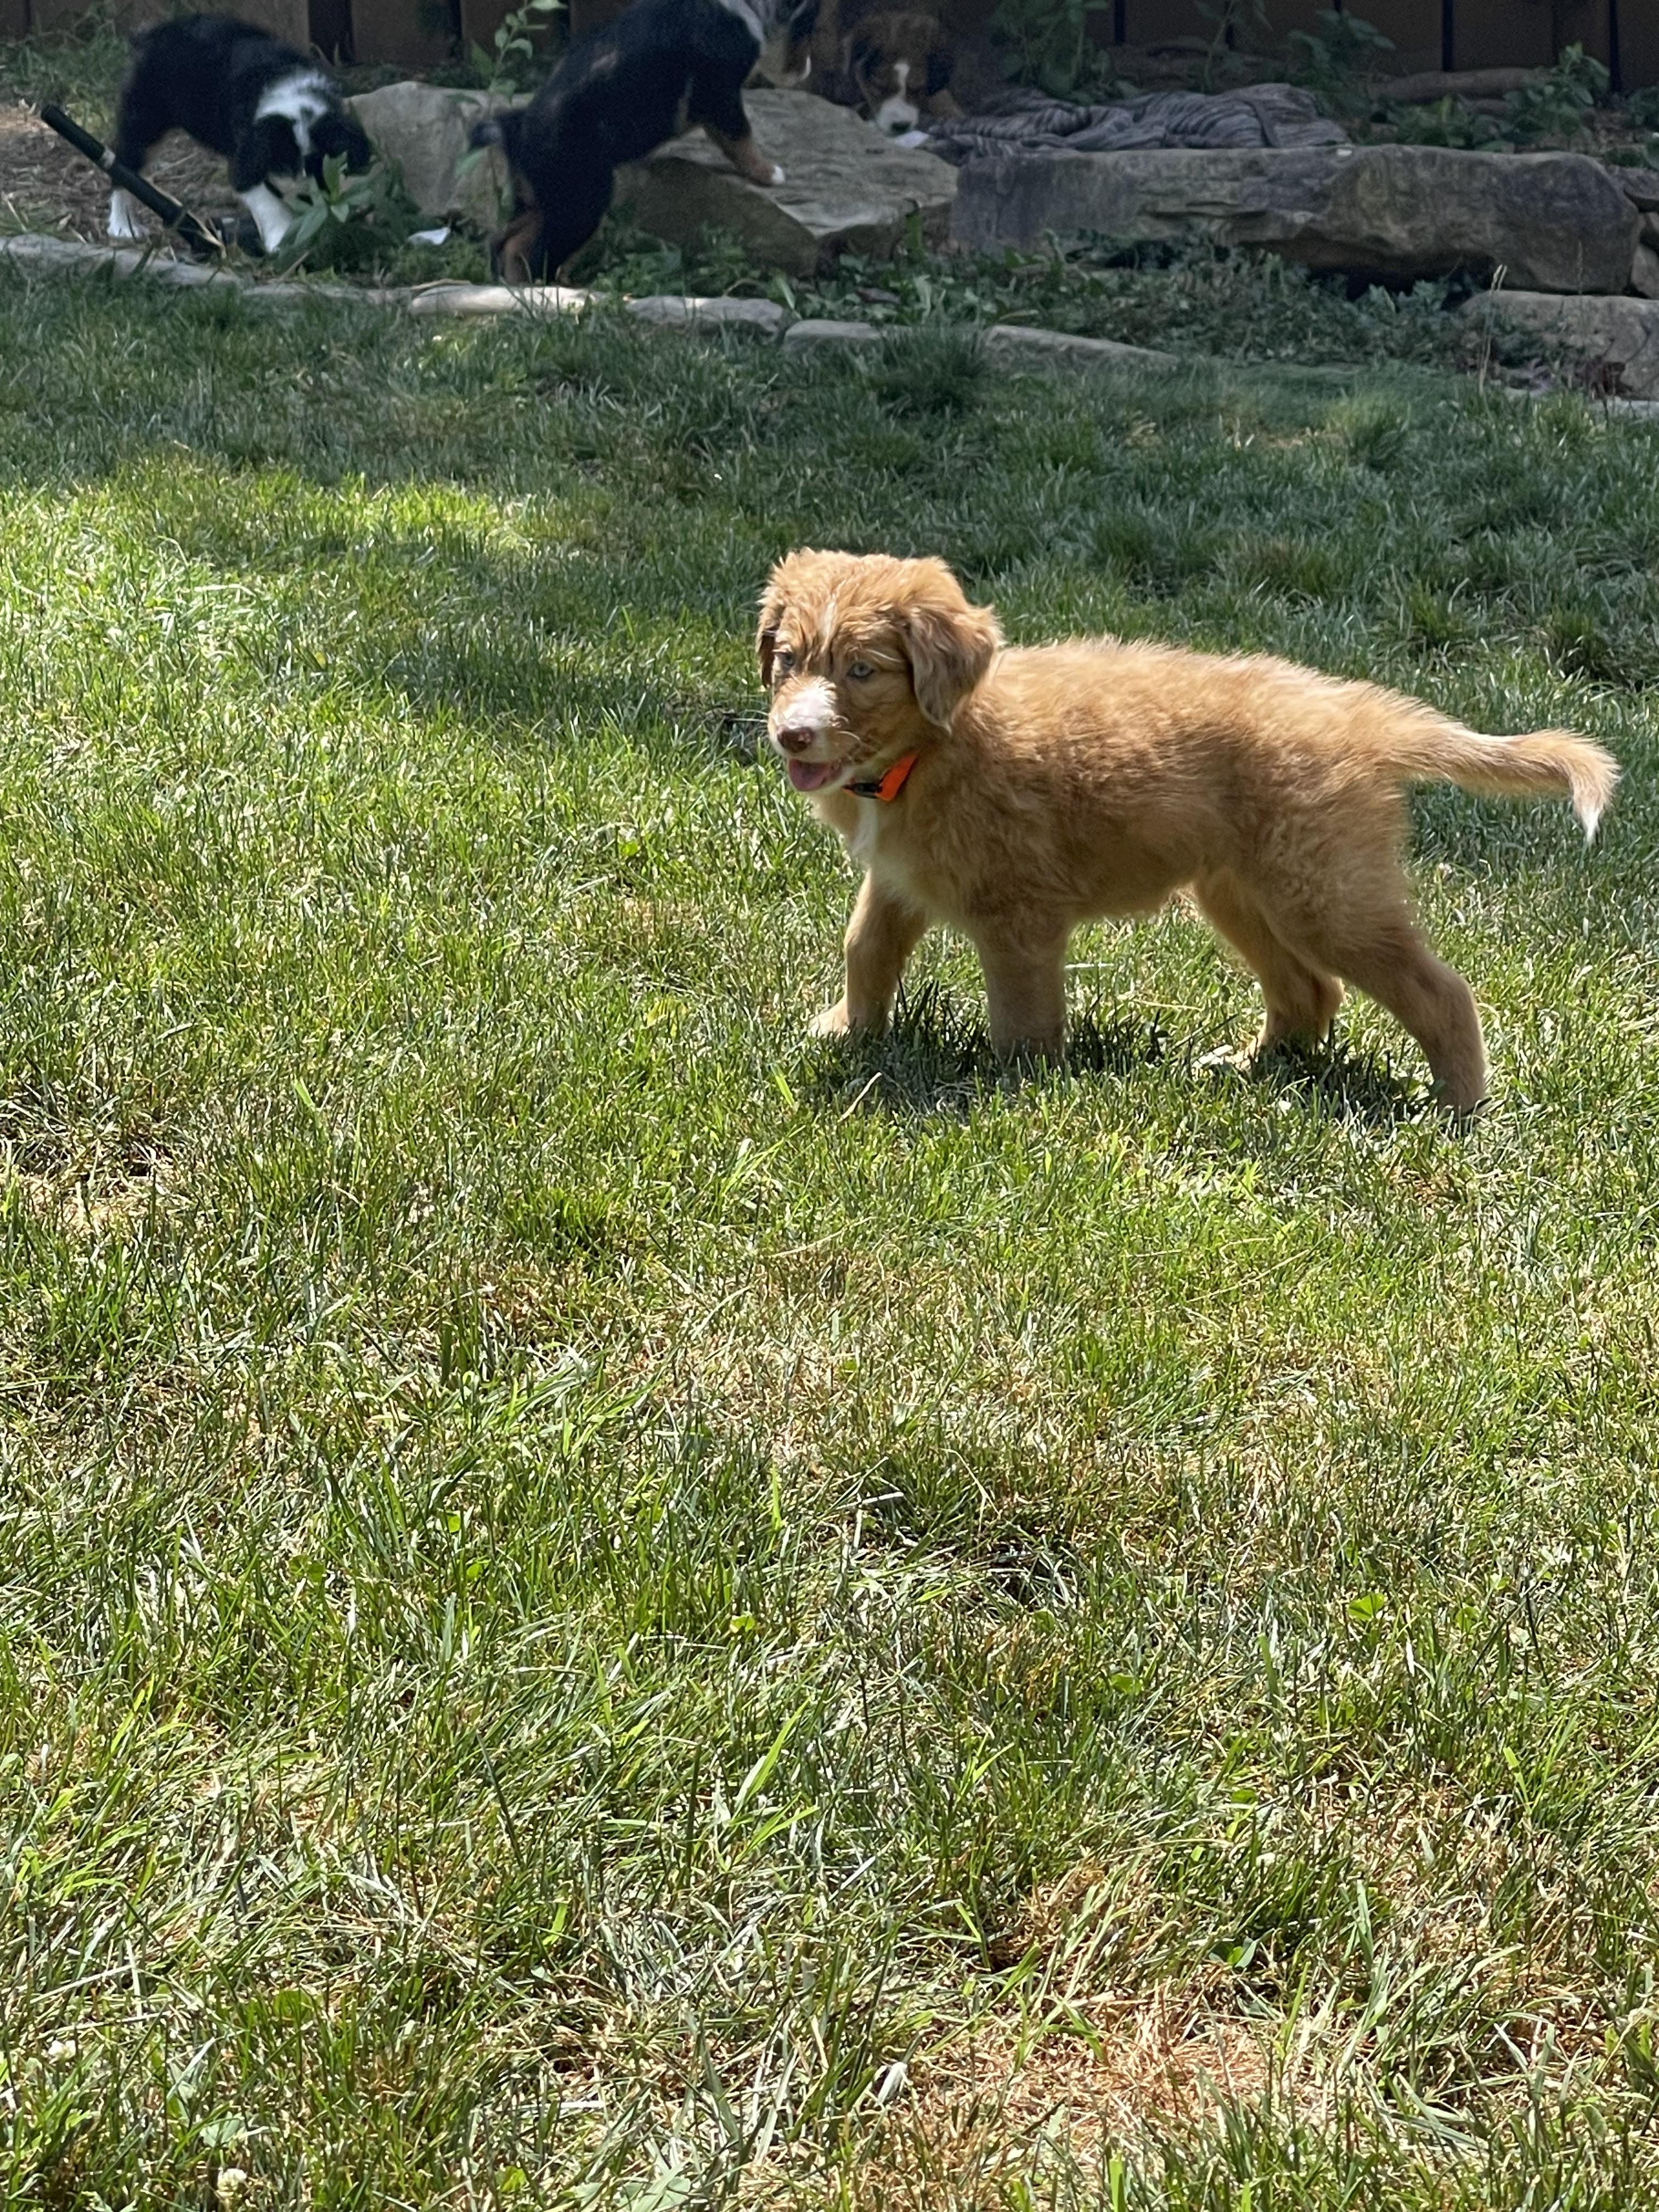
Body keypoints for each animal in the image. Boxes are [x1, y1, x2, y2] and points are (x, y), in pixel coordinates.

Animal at [107, 13, 371, 257]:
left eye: (319, 165)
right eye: (284, 166)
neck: (295, 98)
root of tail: (155, 32)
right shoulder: (247, 158)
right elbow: (266, 201)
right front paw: (280, 240)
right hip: (145, 117)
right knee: (124, 166)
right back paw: (123, 227)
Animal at [473, 0, 818, 284]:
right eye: (807, 26)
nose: (807, 71)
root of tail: (516, 131)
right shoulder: (720, 95)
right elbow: (741, 137)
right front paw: (768, 173)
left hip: (537, 198)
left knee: (506, 241)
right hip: (582, 200)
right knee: (532, 248)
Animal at [758, 550, 1619, 1113]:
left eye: (862, 670)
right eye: (789, 658)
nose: (793, 736)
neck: (924, 754)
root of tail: (1362, 716)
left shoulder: (1019, 912)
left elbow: (1022, 1016)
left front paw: (1021, 1090)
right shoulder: (899, 875)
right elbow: (866, 947)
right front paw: (848, 1032)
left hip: (1325, 895)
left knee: (1438, 991)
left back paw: (1459, 1106)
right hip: (1241, 890)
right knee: (1309, 992)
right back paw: (1249, 1069)